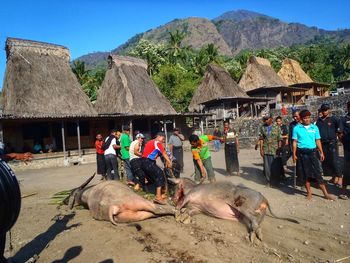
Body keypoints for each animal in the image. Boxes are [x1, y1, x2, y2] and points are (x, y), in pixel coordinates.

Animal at [170, 178, 298, 242]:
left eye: (176, 186)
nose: (172, 198)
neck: (191, 187)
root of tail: (264, 198)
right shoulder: (198, 208)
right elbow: (189, 211)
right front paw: (184, 219)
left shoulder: (190, 195)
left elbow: (182, 204)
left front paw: (177, 215)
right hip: (248, 216)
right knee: (255, 223)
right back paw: (253, 237)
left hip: (243, 206)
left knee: (254, 219)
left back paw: (257, 238)